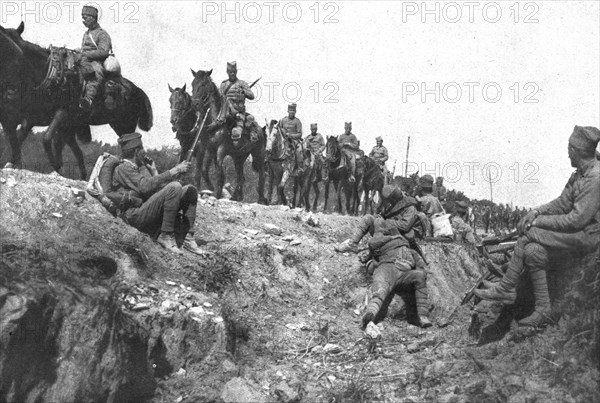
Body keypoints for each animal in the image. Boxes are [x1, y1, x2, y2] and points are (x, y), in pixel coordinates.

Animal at [0, 22, 152, 178]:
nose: (9, 91)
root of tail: (137, 89)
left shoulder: (62, 112)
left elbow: (46, 138)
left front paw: (56, 166)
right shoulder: (33, 117)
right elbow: (20, 137)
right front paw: (12, 162)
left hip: (125, 125)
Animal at [191, 68, 266, 205]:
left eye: (203, 84)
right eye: (193, 84)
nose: (195, 104)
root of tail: (259, 128)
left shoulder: (221, 149)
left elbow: (219, 173)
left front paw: (216, 194)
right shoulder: (208, 149)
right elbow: (203, 171)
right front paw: (207, 190)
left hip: (259, 153)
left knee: (262, 174)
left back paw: (261, 199)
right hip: (239, 157)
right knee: (241, 176)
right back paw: (236, 196)